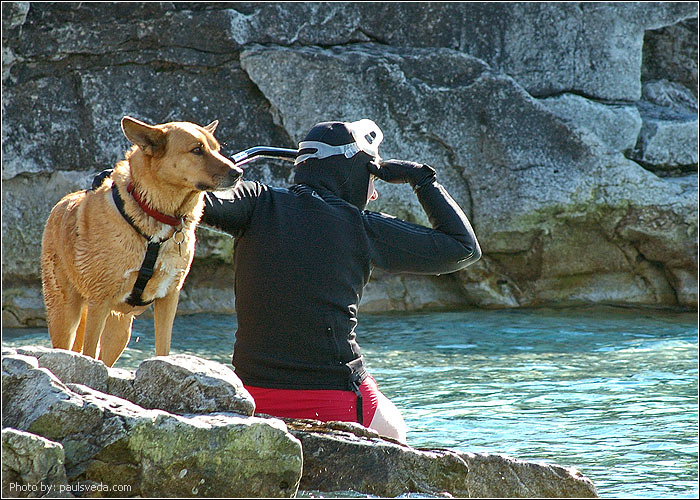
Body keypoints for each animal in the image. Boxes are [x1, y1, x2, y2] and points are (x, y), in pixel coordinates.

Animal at [41, 116, 242, 367]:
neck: (156, 215)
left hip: (119, 332)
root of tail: (61, 203)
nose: (238, 172)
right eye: (197, 150)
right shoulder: (99, 302)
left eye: (217, 149)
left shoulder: (169, 297)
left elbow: (163, 350)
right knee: (68, 349)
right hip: (65, 313)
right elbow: (88, 353)